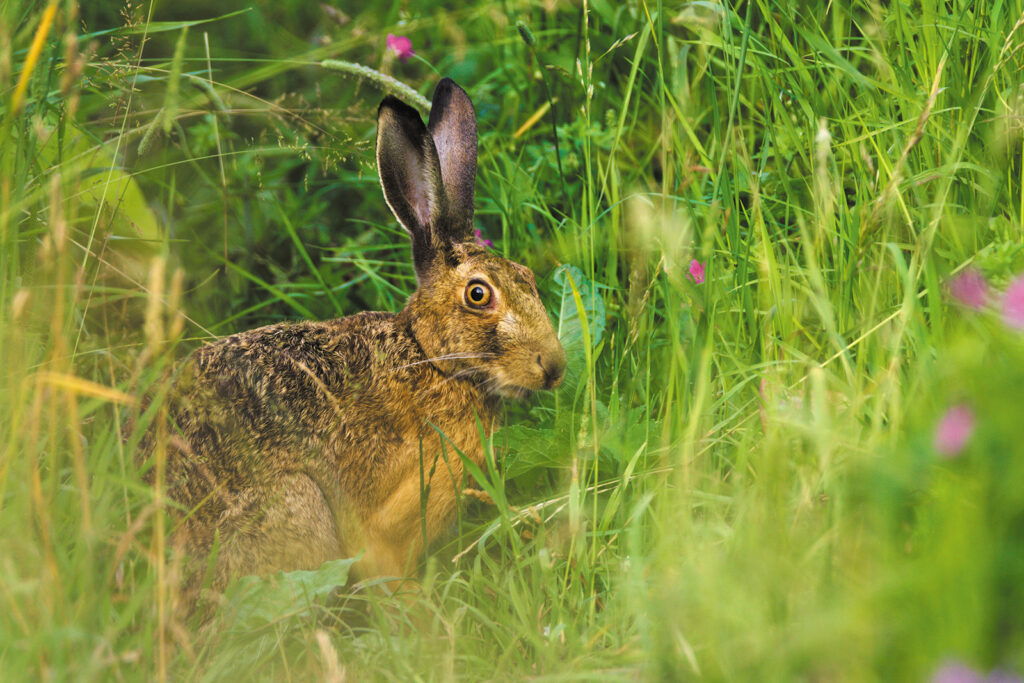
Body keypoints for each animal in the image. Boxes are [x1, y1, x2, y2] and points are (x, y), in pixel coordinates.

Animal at [159, 78, 566, 608]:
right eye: (479, 294)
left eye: (528, 276)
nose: (553, 366)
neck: (430, 358)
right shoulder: (384, 525)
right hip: (299, 505)